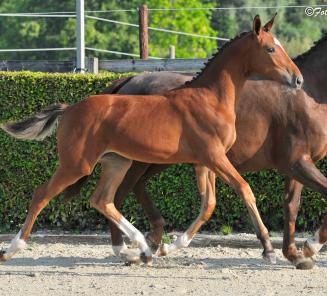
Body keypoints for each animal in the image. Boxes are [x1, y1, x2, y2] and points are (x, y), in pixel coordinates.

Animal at [0, 15, 302, 264]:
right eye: (270, 49)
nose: (298, 80)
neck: (210, 98)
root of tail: (70, 108)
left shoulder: (204, 162)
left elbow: (209, 205)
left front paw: (171, 245)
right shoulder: (215, 157)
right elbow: (244, 189)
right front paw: (268, 249)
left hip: (117, 162)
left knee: (102, 200)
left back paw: (139, 248)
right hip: (77, 165)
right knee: (42, 194)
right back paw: (13, 248)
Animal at [71, 34, 327, 268]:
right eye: (271, 48)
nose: (297, 80)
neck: (308, 96)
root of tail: (129, 81)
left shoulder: (297, 165)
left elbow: (291, 205)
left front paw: (296, 254)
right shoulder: (296, 162)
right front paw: (307, 246)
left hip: (157, 160)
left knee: (132, 189)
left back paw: (150, 240)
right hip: (139, 160)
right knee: (119, 194)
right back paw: (127, 249)